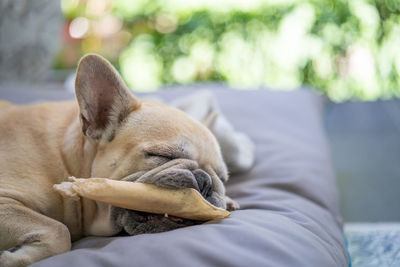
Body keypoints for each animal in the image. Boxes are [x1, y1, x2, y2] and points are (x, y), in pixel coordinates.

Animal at [0, 53, 238, 266]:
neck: (69, 160)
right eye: (162, 155)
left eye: (223, 178)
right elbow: (58, 230)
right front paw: (13, 258)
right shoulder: (5, 202)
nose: (205, 180)